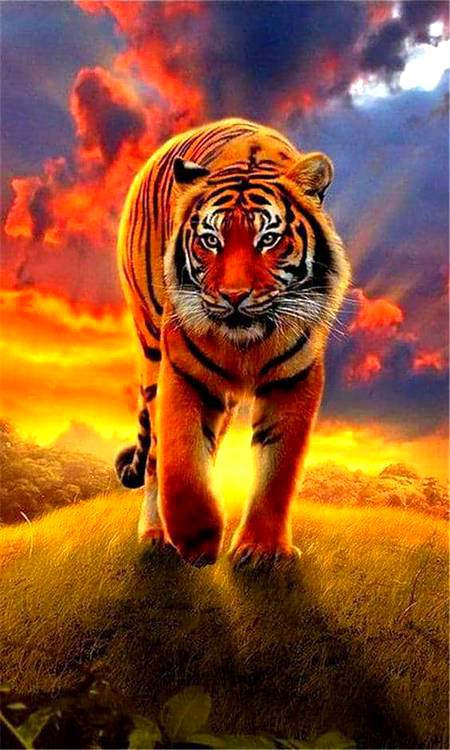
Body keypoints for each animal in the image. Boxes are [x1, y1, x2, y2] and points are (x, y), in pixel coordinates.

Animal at [115, 117, 350, 567]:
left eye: (268, 239)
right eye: (210, 240)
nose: (234, 295)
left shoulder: (294, 379)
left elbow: (278, 469)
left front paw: (261, 550)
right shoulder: (184, 371)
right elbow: (182, 458)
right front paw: (196, 539)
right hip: (151, 347)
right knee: (153, 454)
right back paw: (155, 534)